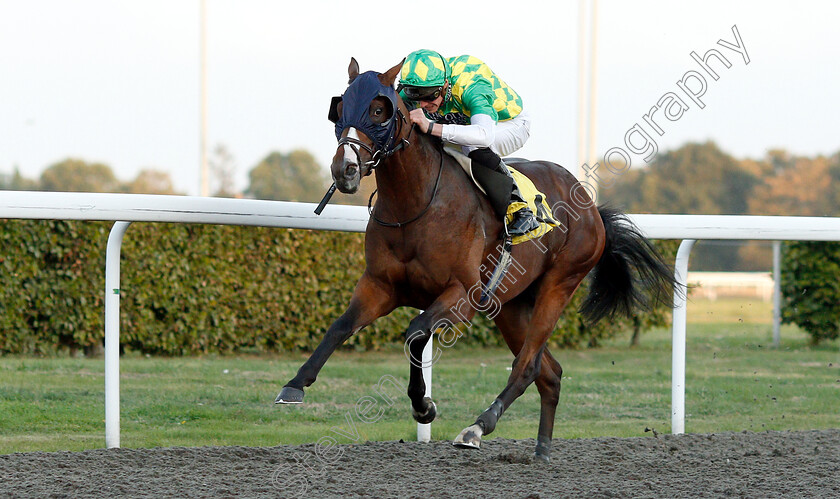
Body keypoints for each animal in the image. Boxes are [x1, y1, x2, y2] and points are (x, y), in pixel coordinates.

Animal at [276, 57, 676, 460]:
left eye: (378, 110)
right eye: (341, 108)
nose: (344, 169)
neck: (416, 204)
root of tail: (592, 207)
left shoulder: (462, 294)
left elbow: (415, 332)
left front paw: (424, 406)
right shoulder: (379, 286)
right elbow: (340, 326)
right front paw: (295, 384)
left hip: (560, 283)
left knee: (527, 366)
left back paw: (478, 426)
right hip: (510, 305)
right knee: (550, 373)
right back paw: (542, 449)